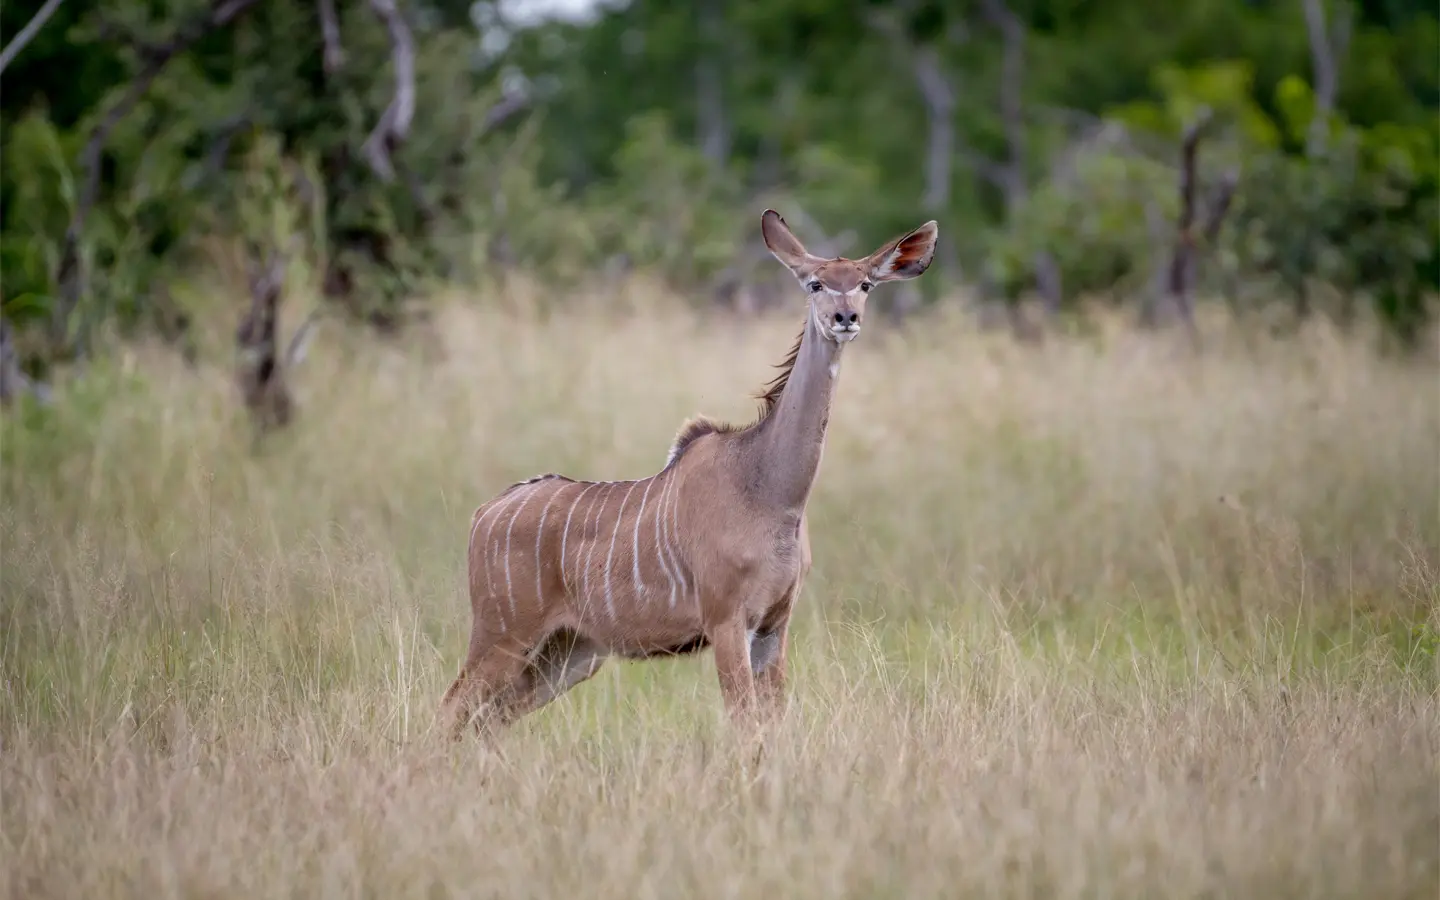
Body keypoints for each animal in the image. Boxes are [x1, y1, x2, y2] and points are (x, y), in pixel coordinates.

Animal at [439, 209, 939, 737]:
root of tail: (484, 513)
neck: (770, 491)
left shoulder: (774, 626)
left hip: (570, 652)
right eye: (815, 284)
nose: (845, 318)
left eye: (864, 284)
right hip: (503, 635)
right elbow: (744, 726)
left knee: (488, 719)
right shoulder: (726, 621)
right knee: (452, 709)